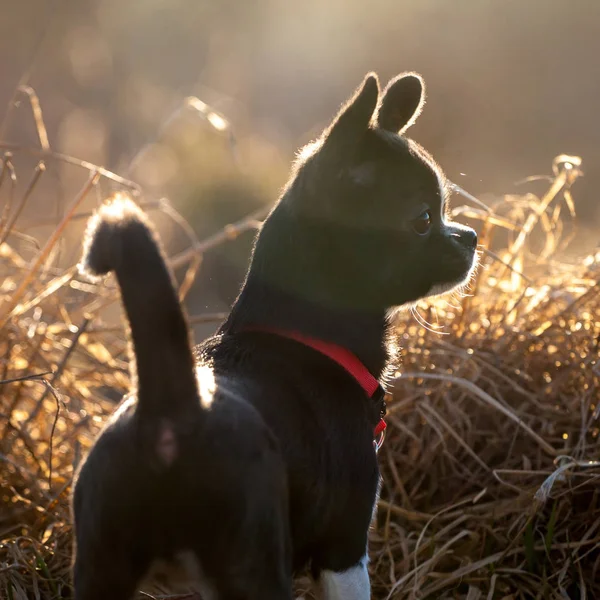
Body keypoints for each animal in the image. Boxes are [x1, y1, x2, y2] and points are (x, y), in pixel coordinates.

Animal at [72, 71, 478, 600]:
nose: (471, 237)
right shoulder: (345, 548)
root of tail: (171, 410)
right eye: (425, 220)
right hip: (255, 561)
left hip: (101, 565)